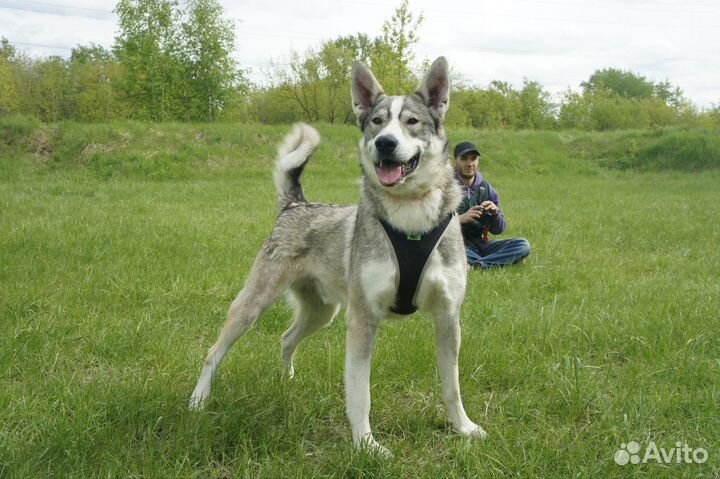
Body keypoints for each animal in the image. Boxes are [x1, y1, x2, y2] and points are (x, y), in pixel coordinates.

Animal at [188, 56, 486, 454]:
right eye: (376, 121)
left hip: (321, 312)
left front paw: (463, 428)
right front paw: (367, 446)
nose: (385, 143)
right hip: (252, 306)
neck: (410, 218)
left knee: (286, 338)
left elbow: (452, 386)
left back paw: (286, 381)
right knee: (213, 353)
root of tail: (296, 204)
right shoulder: (362, 319)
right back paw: (198, 400)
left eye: (412, 121)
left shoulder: (448, 317)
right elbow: (360, 395)